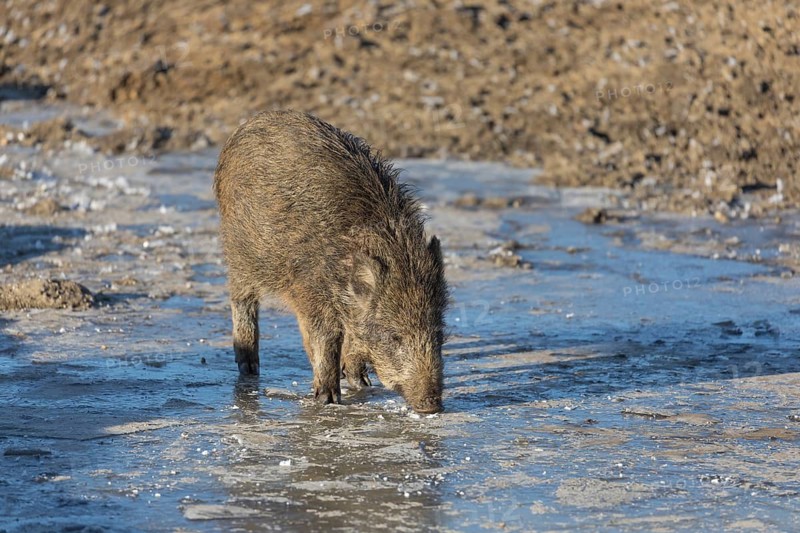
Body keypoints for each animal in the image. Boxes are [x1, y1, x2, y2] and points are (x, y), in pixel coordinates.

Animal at [213, 110, 448, 414]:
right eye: (394, 336)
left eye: (438, 333)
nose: (432, 405)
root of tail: (251, 123)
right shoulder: (312, 294)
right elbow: (326, 340)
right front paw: (328, 399)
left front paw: (361, 382)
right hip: (241, 255)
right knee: (241, 300)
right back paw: (250, 369)